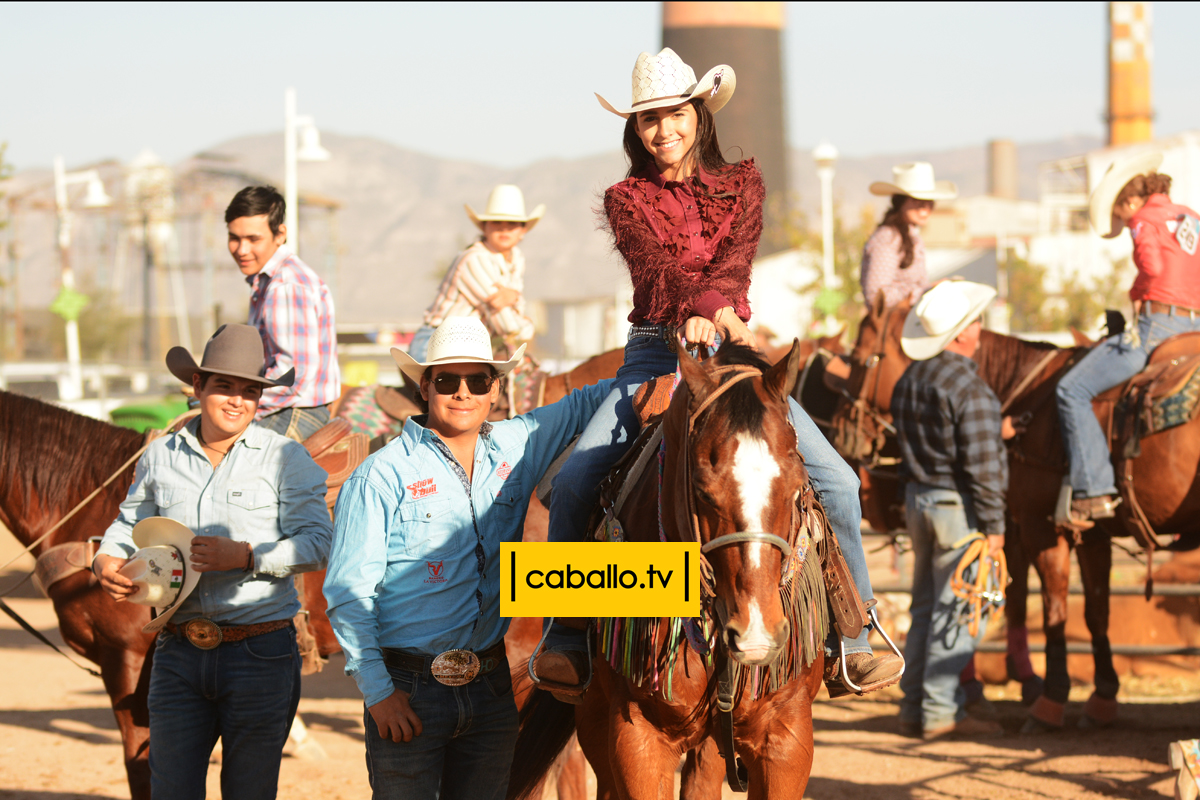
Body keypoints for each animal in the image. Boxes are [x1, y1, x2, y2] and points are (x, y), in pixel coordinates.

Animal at [832, 296, 1200, 731]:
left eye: (860, 358)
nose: (842, 433)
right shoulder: (1091, 535)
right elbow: (1096, 611)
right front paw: (1102, 699)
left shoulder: (1043, 529)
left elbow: (1055, 608)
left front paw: (1051, 701)